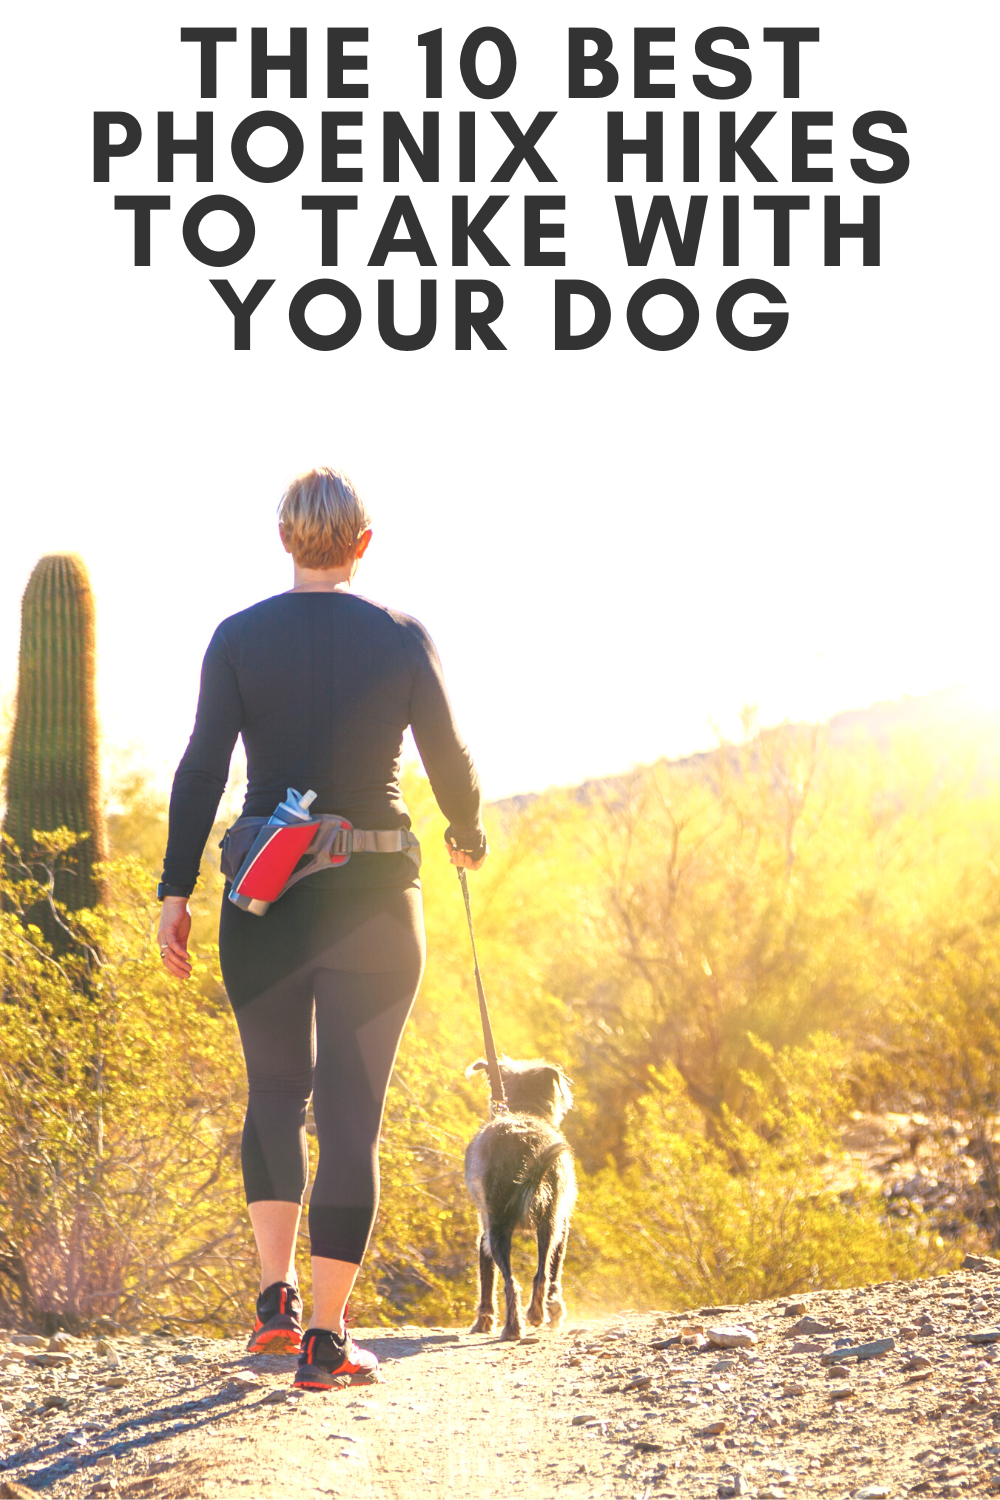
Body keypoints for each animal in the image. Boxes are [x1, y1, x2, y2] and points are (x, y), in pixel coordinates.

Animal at [464, 1062, 578, 1344]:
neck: (523, 1108)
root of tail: (526, 1144)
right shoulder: (562, 1227)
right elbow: (553, 1272)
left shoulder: (483, 1236)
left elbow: (486, 1280)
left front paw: (483, 1321)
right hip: (548, 1224)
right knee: (540, 1275)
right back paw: (532, 1318)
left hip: (501, 1229)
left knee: (513, 1281)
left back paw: (516, 1327)